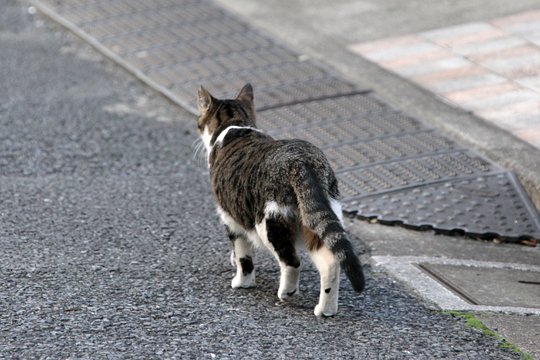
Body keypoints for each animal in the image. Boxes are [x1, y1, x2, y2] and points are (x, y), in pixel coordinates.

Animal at [196, 83, 364, 316]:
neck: (235, 125)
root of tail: (301, 161)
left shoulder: (230, 218)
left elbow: (242, 255)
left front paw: (241, 281)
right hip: (317, 216)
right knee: (330, 263)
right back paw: (325, 310)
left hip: (269, 221)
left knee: (291, 261)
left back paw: (287, 292)